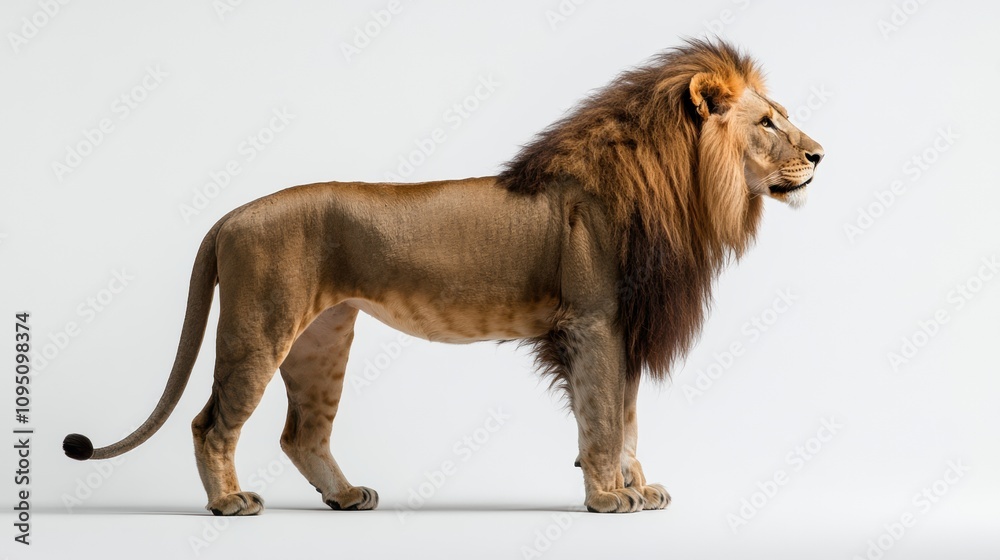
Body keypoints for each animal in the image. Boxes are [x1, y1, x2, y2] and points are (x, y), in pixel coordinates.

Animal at [63, 40, 823, 515]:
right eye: (768, 122)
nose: (821, 153)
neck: (681, 190)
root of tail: (228, 217)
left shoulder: (625, 327)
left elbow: (627, 416)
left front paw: (638, 487)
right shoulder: (594, 322)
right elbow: (604, 418)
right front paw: (609, 497)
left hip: (322, 337)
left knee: (300, 432)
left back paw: (346, 498)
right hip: (260, 324)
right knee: (211, 422)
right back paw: (227, 503)